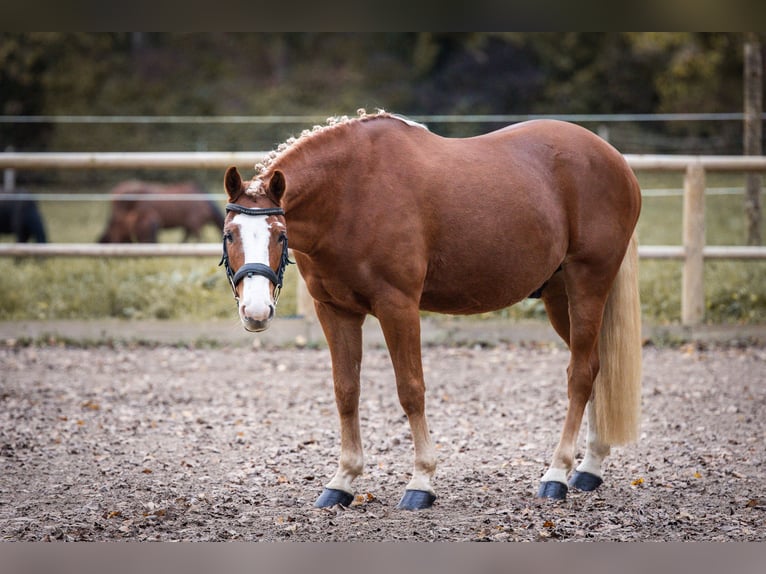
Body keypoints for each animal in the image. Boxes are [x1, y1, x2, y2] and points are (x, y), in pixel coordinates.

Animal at [220, 110, 642, 510]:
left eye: (280, 235)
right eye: (229, 235)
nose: (255, 310)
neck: (351, 192)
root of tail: (617, 162)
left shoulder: (398, 306)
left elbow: (410, 390)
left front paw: (420, 482)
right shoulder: (335, 311)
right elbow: (346, 391)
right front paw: (342, 481)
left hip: (588, 282)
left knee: (580, 374)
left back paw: (556, 474)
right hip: (559, 296)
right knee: (595, 368)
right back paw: (588, 468)